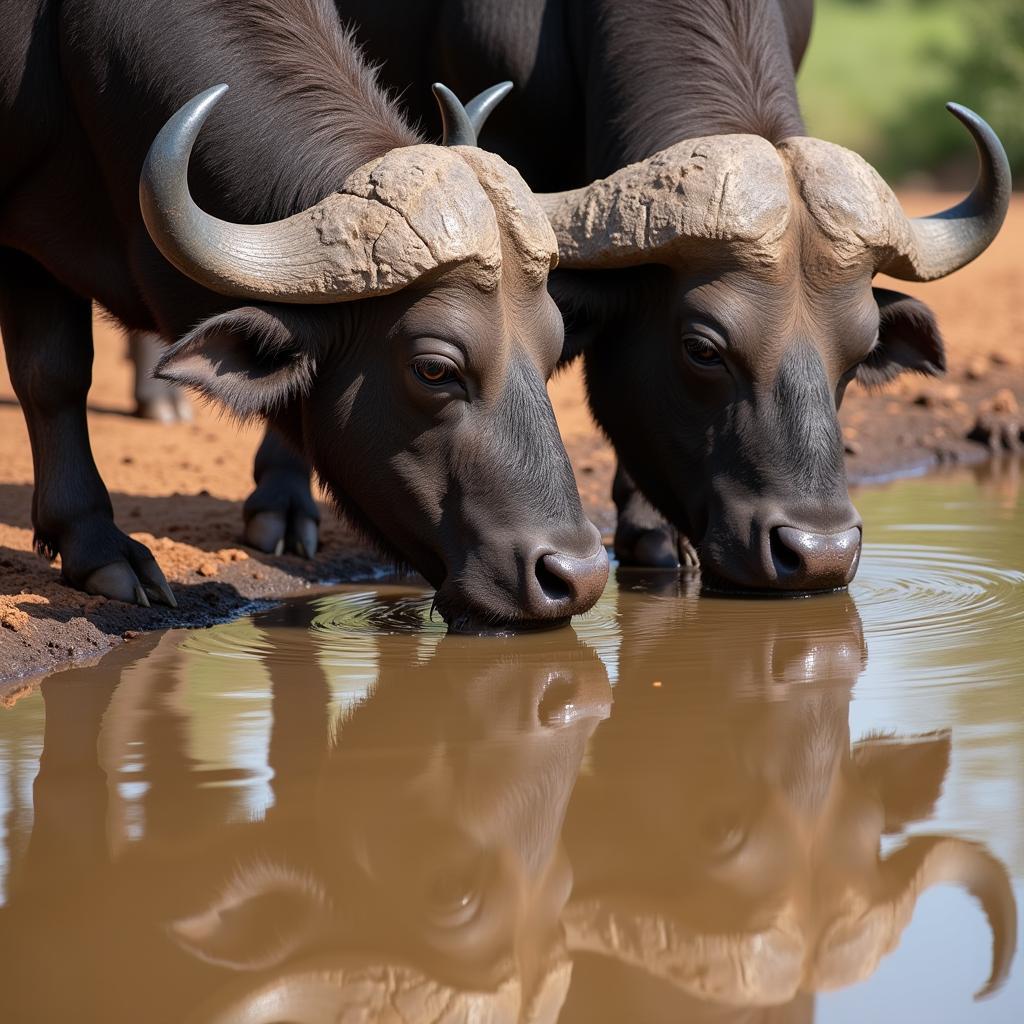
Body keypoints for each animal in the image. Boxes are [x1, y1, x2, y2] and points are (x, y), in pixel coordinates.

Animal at [0, 0, 606, 626]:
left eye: (553, 351)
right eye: (434, 369)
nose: (577, 575)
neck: (73, 52)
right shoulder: (25, 248)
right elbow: (53, 374)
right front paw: (98, 548)